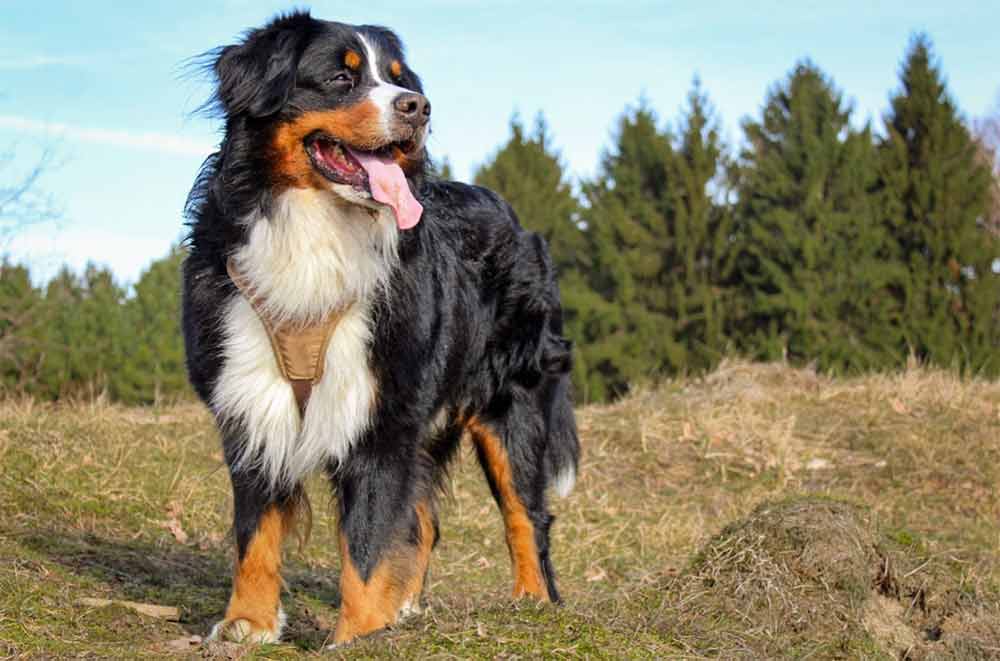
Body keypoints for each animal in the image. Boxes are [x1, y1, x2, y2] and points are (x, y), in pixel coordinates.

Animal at [184, 10, 584, 648]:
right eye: (341, 79)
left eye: (398, 78)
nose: (418, 107)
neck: (315, 232)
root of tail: (518, 221)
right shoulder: (250, 399)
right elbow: (256, 528)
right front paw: (248, 623)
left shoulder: (380, 413)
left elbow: (369, 542)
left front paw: (356, 638)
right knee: (424, 520)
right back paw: (407, 610)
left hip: (511, 402)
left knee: (526, 514)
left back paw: (533, 603)